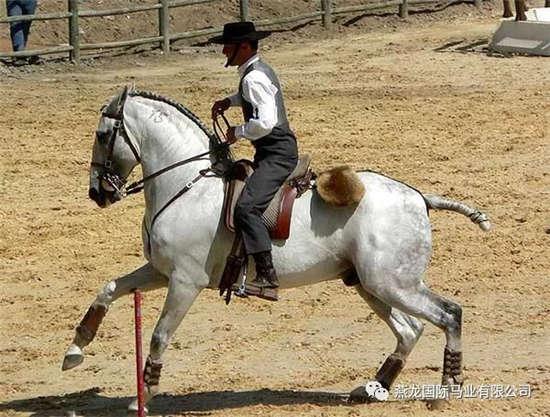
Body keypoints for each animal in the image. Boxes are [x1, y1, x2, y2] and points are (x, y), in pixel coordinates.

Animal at [62, 86, 494, 408]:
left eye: (102, 135)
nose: (97, 193)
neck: (187, 185)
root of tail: (420, 198)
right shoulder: (159, 271)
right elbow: (109, 288)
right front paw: (76, 349)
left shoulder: (185, 281)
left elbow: (159, 334)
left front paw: (145, 395)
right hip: (370, 284)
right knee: (410, 329)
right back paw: (375, 388)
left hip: (393, 283)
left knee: (449, 314)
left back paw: (446, 391)